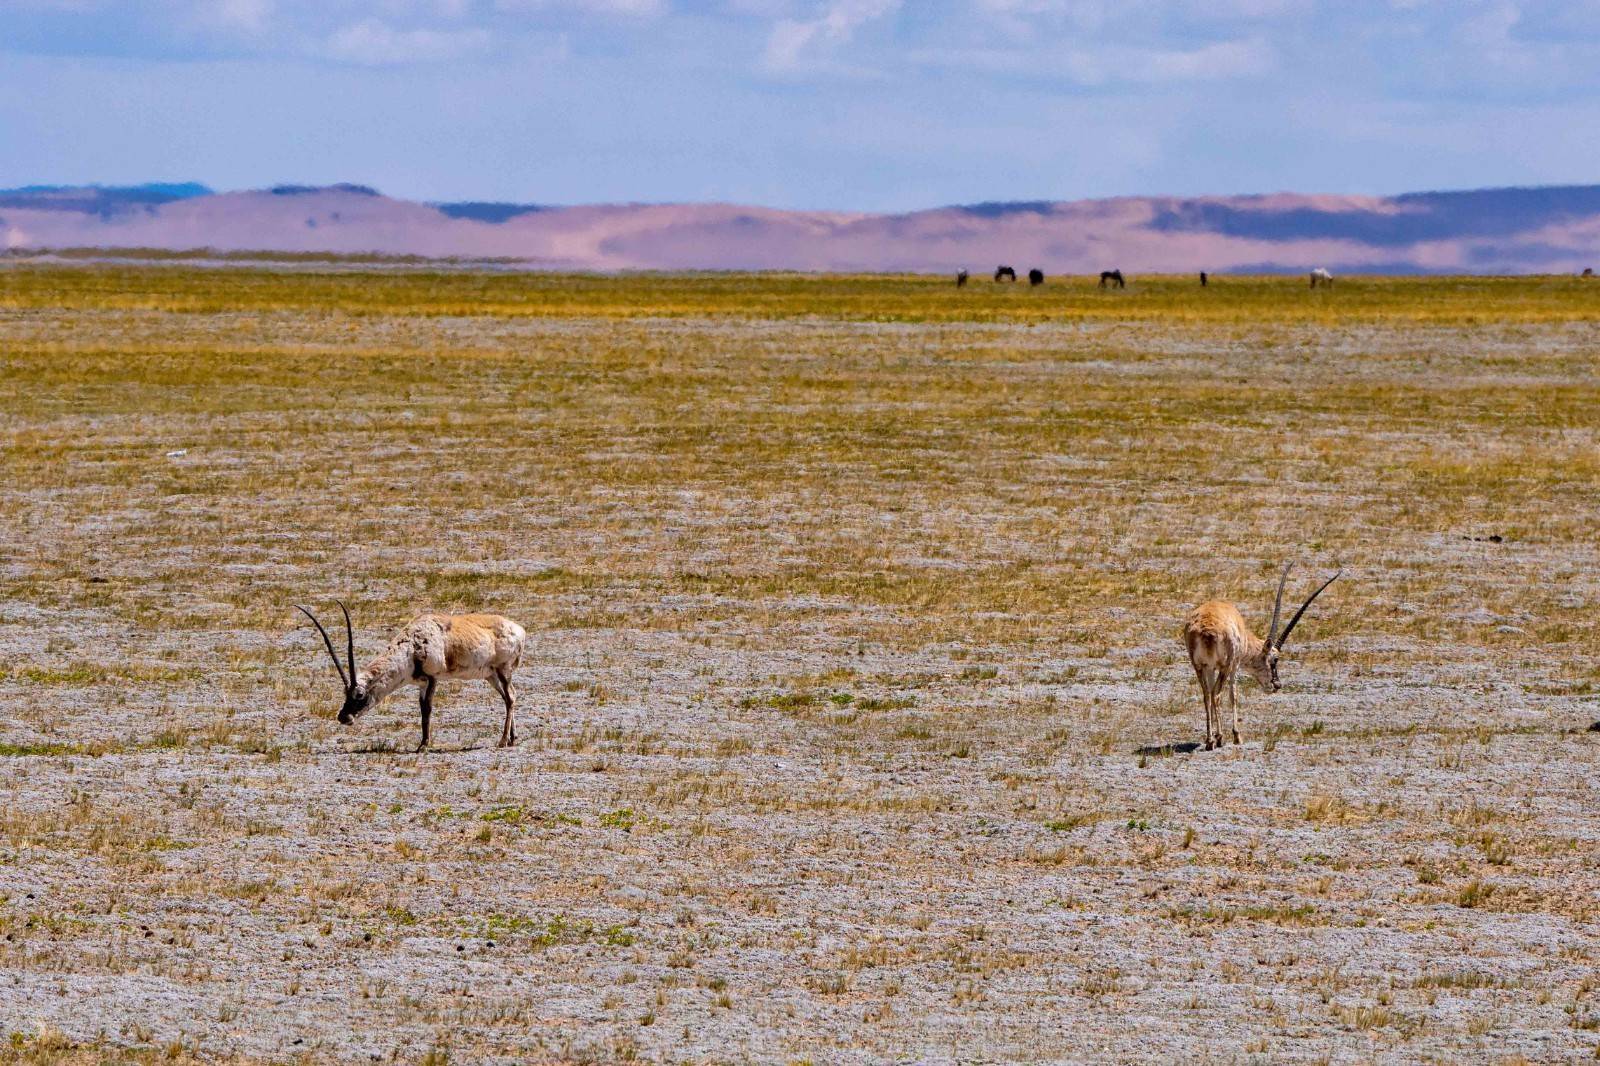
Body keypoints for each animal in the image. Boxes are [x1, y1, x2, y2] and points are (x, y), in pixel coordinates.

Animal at [297, 601, 528, 752]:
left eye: (359, 694)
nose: (344, 717)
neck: (411, 646)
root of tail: (519, 630)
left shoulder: (433, 678)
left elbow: (427, 710)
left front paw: (423, 746)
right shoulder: (421, 683)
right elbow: (421, 709)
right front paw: (422, 743)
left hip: (503, 670)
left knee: (510, 697)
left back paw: (503, 741)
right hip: (491, 675)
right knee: (509, 697)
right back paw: (512, 738)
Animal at [1184, 563, 1344, 745]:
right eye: (1275, 659)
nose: (1277, 685)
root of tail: (1207, 629)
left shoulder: (1211, 667)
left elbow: (1210, 694)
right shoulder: (1234, 665)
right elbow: (1233, 695)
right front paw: (1237, 735)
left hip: (1199, 667)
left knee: (1207, 695)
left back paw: (1209, 740)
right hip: (1224, 667)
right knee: (1217, 695)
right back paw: (1219, 739)